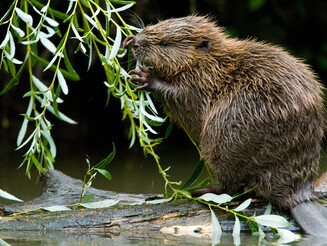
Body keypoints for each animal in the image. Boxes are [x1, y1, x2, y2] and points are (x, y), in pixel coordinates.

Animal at [123, 15, 327, 236]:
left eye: (165, 44)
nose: (136, 43)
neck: (213, 63)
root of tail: (299, 198)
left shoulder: (200, 82)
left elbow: (180, 96)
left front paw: (145, 77)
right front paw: (129, 38)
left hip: (224, 141)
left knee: (233, 187)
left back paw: (199, 190)